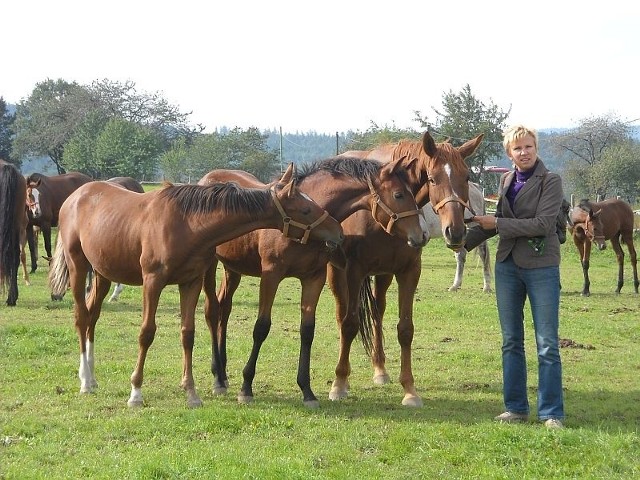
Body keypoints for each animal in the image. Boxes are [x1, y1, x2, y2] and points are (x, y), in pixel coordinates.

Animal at [48, 163, 344, 406]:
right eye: (305, 209)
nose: (338, 232)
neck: (185, 223)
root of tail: (76, 196)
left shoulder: (189, 283)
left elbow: (187, 334)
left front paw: (191, 392)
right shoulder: (152, 282)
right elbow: (146, 332)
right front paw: (136, 392)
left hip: (103, 274)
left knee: (92, 316)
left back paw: (91, 376)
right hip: (78, 267)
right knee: (81, 316)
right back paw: (85, 382)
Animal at [198, 156, 428, 406]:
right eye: (398, 194)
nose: (421, 235)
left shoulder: (314, 278)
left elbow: (307, 330)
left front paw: (307, 391)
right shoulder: (271, 275)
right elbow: (261, 327)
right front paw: (246, 387)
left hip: (233, 268)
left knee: (225, 308)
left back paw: (222, 373)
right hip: (209, 266)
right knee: (212, 311)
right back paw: (218, 379)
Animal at [332, 130, 482, 404]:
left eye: (466, 177)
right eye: (432, 179)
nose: (455, 231)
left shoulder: (409, 271)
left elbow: (405, 329)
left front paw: (410, 390)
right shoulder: (354, 271)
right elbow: (349, 324)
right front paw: (338, 384)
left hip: (382, 275)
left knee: (378, 312)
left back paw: (380, 369)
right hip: (336, 272)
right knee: (342, 315)